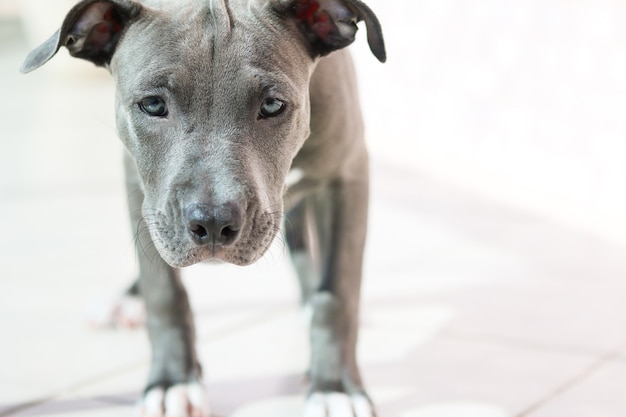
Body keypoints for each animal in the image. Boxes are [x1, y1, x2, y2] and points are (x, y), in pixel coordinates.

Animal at [23, 0, 386, 416]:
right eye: (152, 104)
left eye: (273, 104)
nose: (213, 224)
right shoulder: (142, 189)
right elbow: (164, 291)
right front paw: (173, 381)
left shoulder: (347, 174)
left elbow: (337, 294)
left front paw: (333, 387)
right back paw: (125, 301)